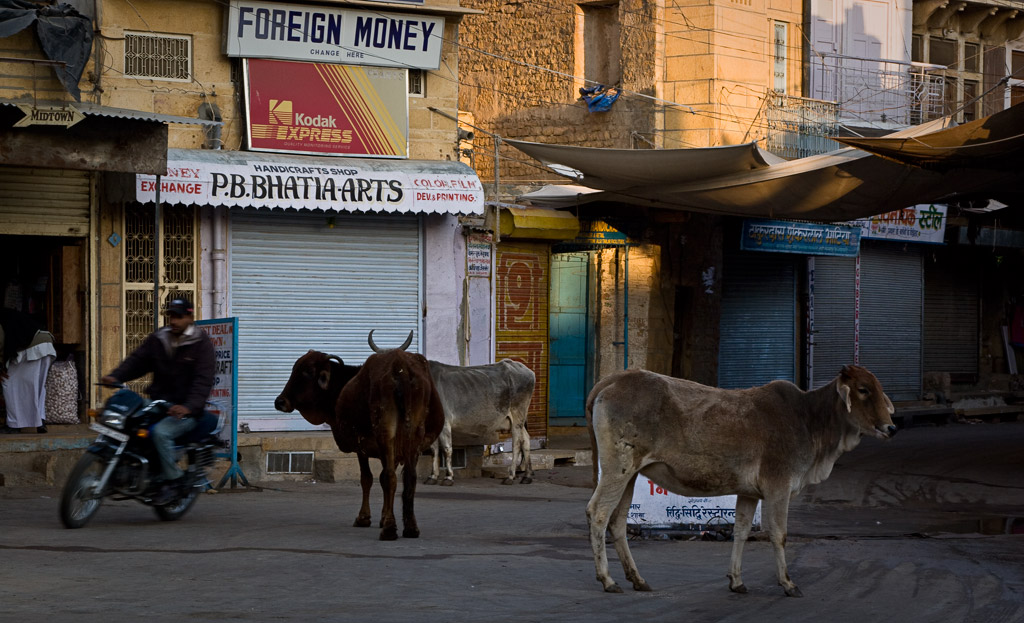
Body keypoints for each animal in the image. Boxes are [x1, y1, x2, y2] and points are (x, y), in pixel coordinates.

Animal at [274, 331, 446, 541]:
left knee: (390, 477)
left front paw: (365, 518)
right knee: (409, 478)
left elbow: (368, 478)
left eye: (306, 372)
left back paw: (389, 529)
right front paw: (383, 517)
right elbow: (383, 479)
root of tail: (401, 367)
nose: (280, 401)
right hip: (413, 435)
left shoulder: (361, 446)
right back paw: (410, 528)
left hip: (385, 431)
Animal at [585, 366, 897, 594]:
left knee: (618, 521)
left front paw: (736, 580)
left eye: (879, 388)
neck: (809, 420)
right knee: (598, 513)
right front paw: (788, 583)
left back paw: (637, 579)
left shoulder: (750, 493)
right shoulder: (779, 487)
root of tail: (612, 380)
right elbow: (779, 534)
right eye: (863, 390)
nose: (891, 427)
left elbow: (741, 531)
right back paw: (607, 580)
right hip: (617, 469)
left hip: (630, 474)